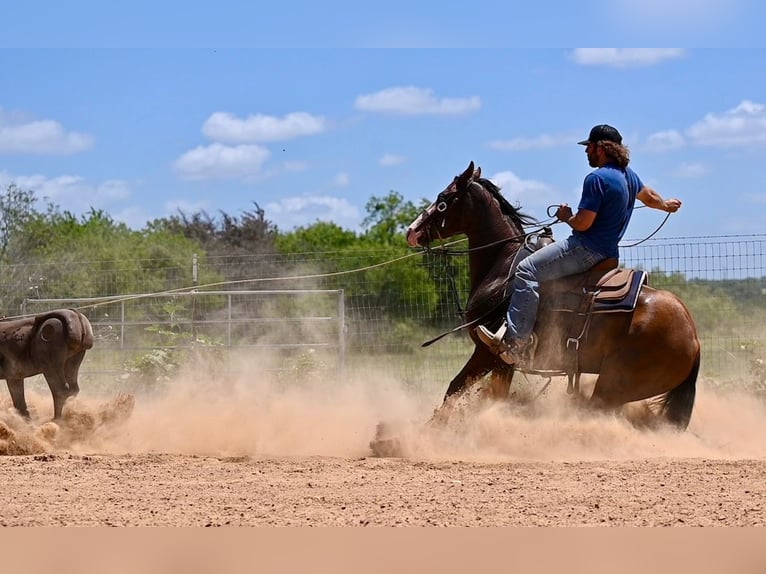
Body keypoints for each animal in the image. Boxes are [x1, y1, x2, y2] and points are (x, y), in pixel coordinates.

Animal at [408, 160, 704, 430]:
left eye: (443, 199)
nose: (412, 231)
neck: (503, 266)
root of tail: (693, 337)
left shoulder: (491, 353)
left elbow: (459, 388)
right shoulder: (496, 361)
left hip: (614, 383)